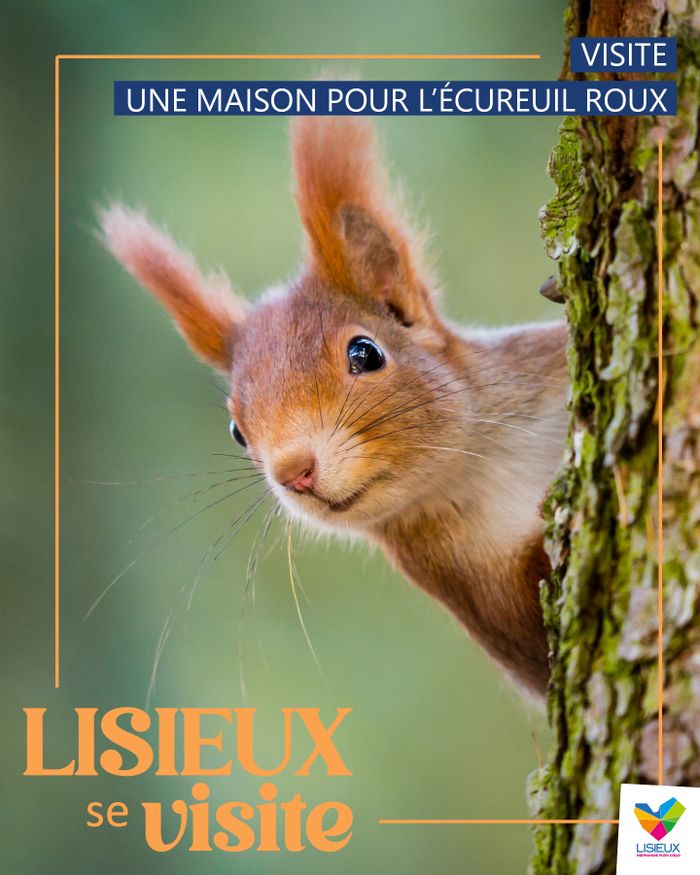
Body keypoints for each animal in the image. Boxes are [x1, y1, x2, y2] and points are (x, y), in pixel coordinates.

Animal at [100, 116, 568, 698]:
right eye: (236, 430)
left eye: (365, 353)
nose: (293, 471)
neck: (484, 466)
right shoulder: (473, 590)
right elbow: (535, 641)